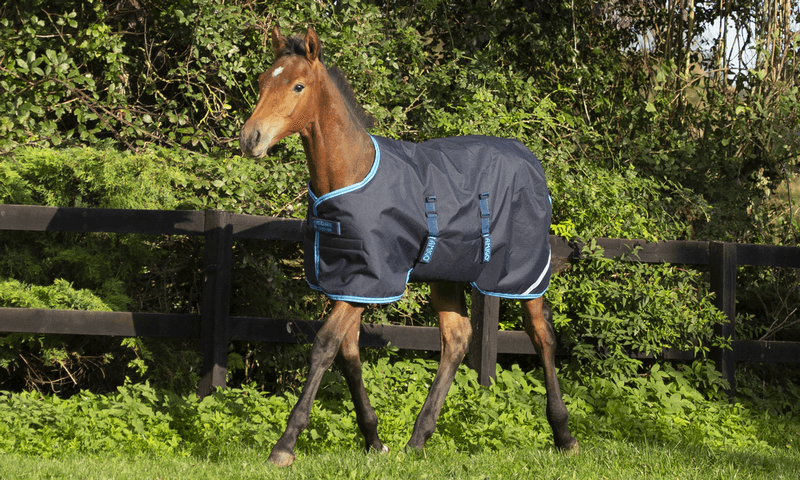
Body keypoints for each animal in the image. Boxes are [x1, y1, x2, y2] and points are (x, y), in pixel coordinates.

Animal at [239, 26, 579, 467]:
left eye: (298, 85)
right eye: (263, 81)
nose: (251, 138)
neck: (351, 173)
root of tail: (530, 160)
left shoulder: (371, 279)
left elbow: (325, 345)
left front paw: (284, 446)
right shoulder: (348, 281)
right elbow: (348, 353)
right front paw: (374, 439)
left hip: (523, 272)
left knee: (541, 336)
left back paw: (564, 435)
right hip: (446, 274)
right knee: (457, 338)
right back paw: (418, 438)